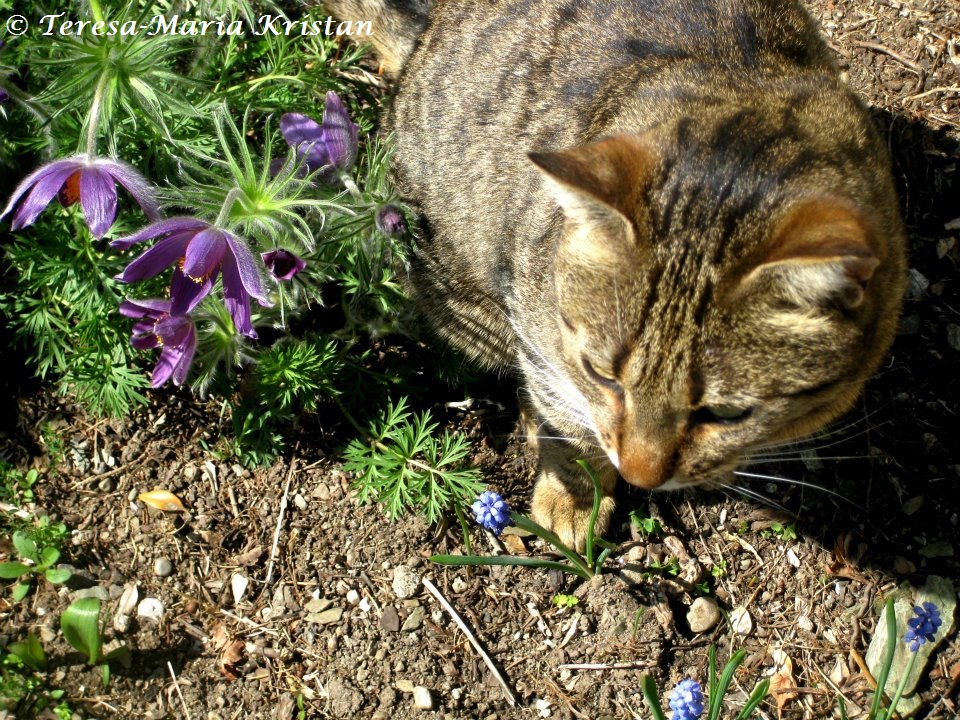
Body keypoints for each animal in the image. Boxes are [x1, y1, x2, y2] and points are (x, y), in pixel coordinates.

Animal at [326, 0, 904, 548]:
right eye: (603, 375)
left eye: (726, 415)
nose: (641, 476)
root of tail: (424, 31)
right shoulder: (540, 341)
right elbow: (569, 423)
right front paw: (575, 495)